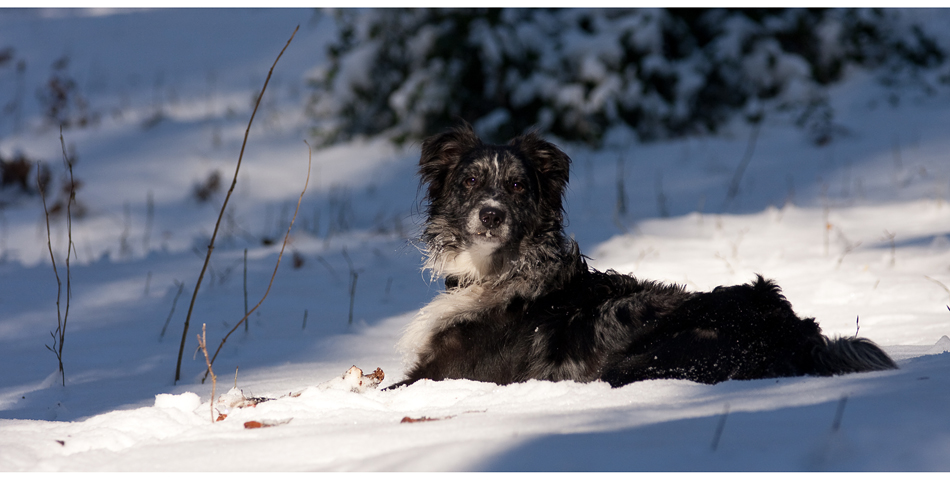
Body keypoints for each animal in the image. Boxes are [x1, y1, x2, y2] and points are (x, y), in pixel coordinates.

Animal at [390, 124, 896, 390]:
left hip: (638, 362)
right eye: (470, 180)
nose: (491, 214)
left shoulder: (447, 373)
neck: (500, 273)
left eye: (516, 185)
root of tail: (793, 329)